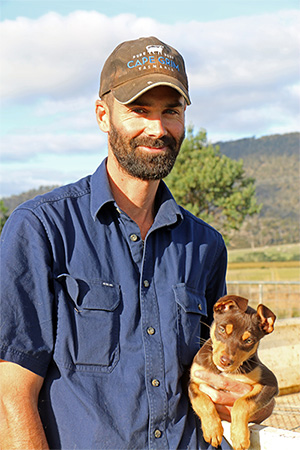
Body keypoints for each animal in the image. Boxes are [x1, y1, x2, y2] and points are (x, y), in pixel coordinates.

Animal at [189, 296, 278, 450]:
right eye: (222, 329)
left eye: (249, 340)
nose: (225, 361)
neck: (222, 371)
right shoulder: (194, 381)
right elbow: (202, 401)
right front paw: (213, 430)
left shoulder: (270, 384)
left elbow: (242, 403)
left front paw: (239, 437)